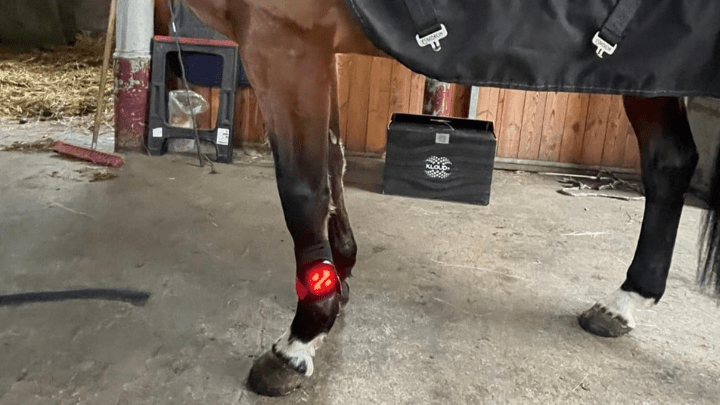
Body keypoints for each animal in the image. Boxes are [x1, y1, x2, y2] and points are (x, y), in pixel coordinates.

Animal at [176, 0, 720, 396]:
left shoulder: (282, 38)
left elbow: (303, 187)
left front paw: (300, 340)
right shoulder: (318, 47)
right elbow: (333, 160)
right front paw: (341, 273)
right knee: (670, 161)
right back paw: (623, 303)